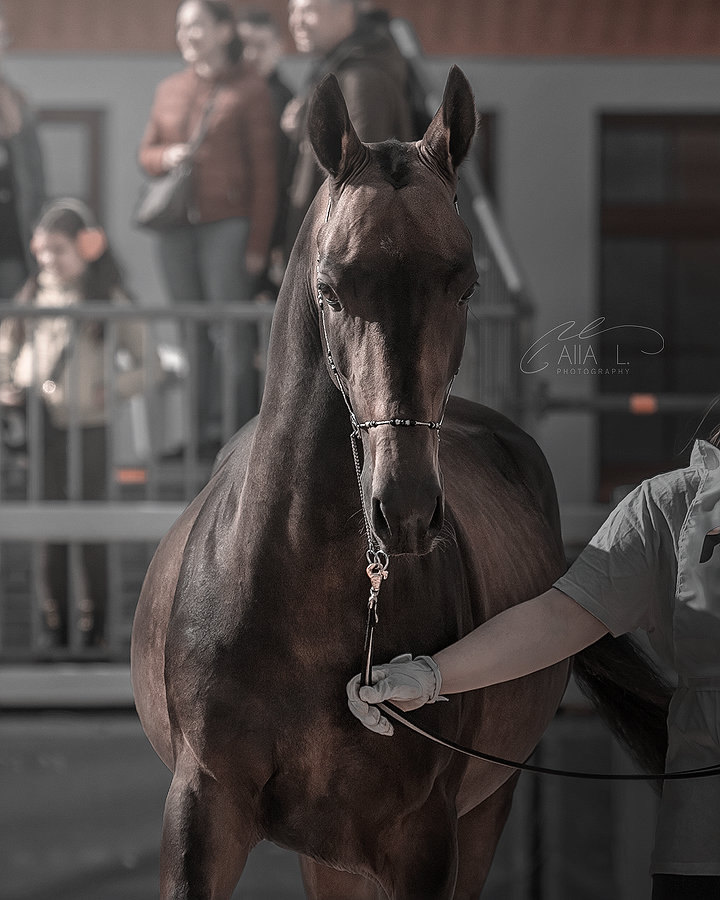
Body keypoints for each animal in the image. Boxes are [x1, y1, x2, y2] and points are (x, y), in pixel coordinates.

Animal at [134, 67, 668, 896]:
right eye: (330, 287)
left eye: (466, 284)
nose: (406, 511)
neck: (302, 595)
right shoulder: (202, 812)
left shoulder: (423, 838)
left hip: (480, 812)